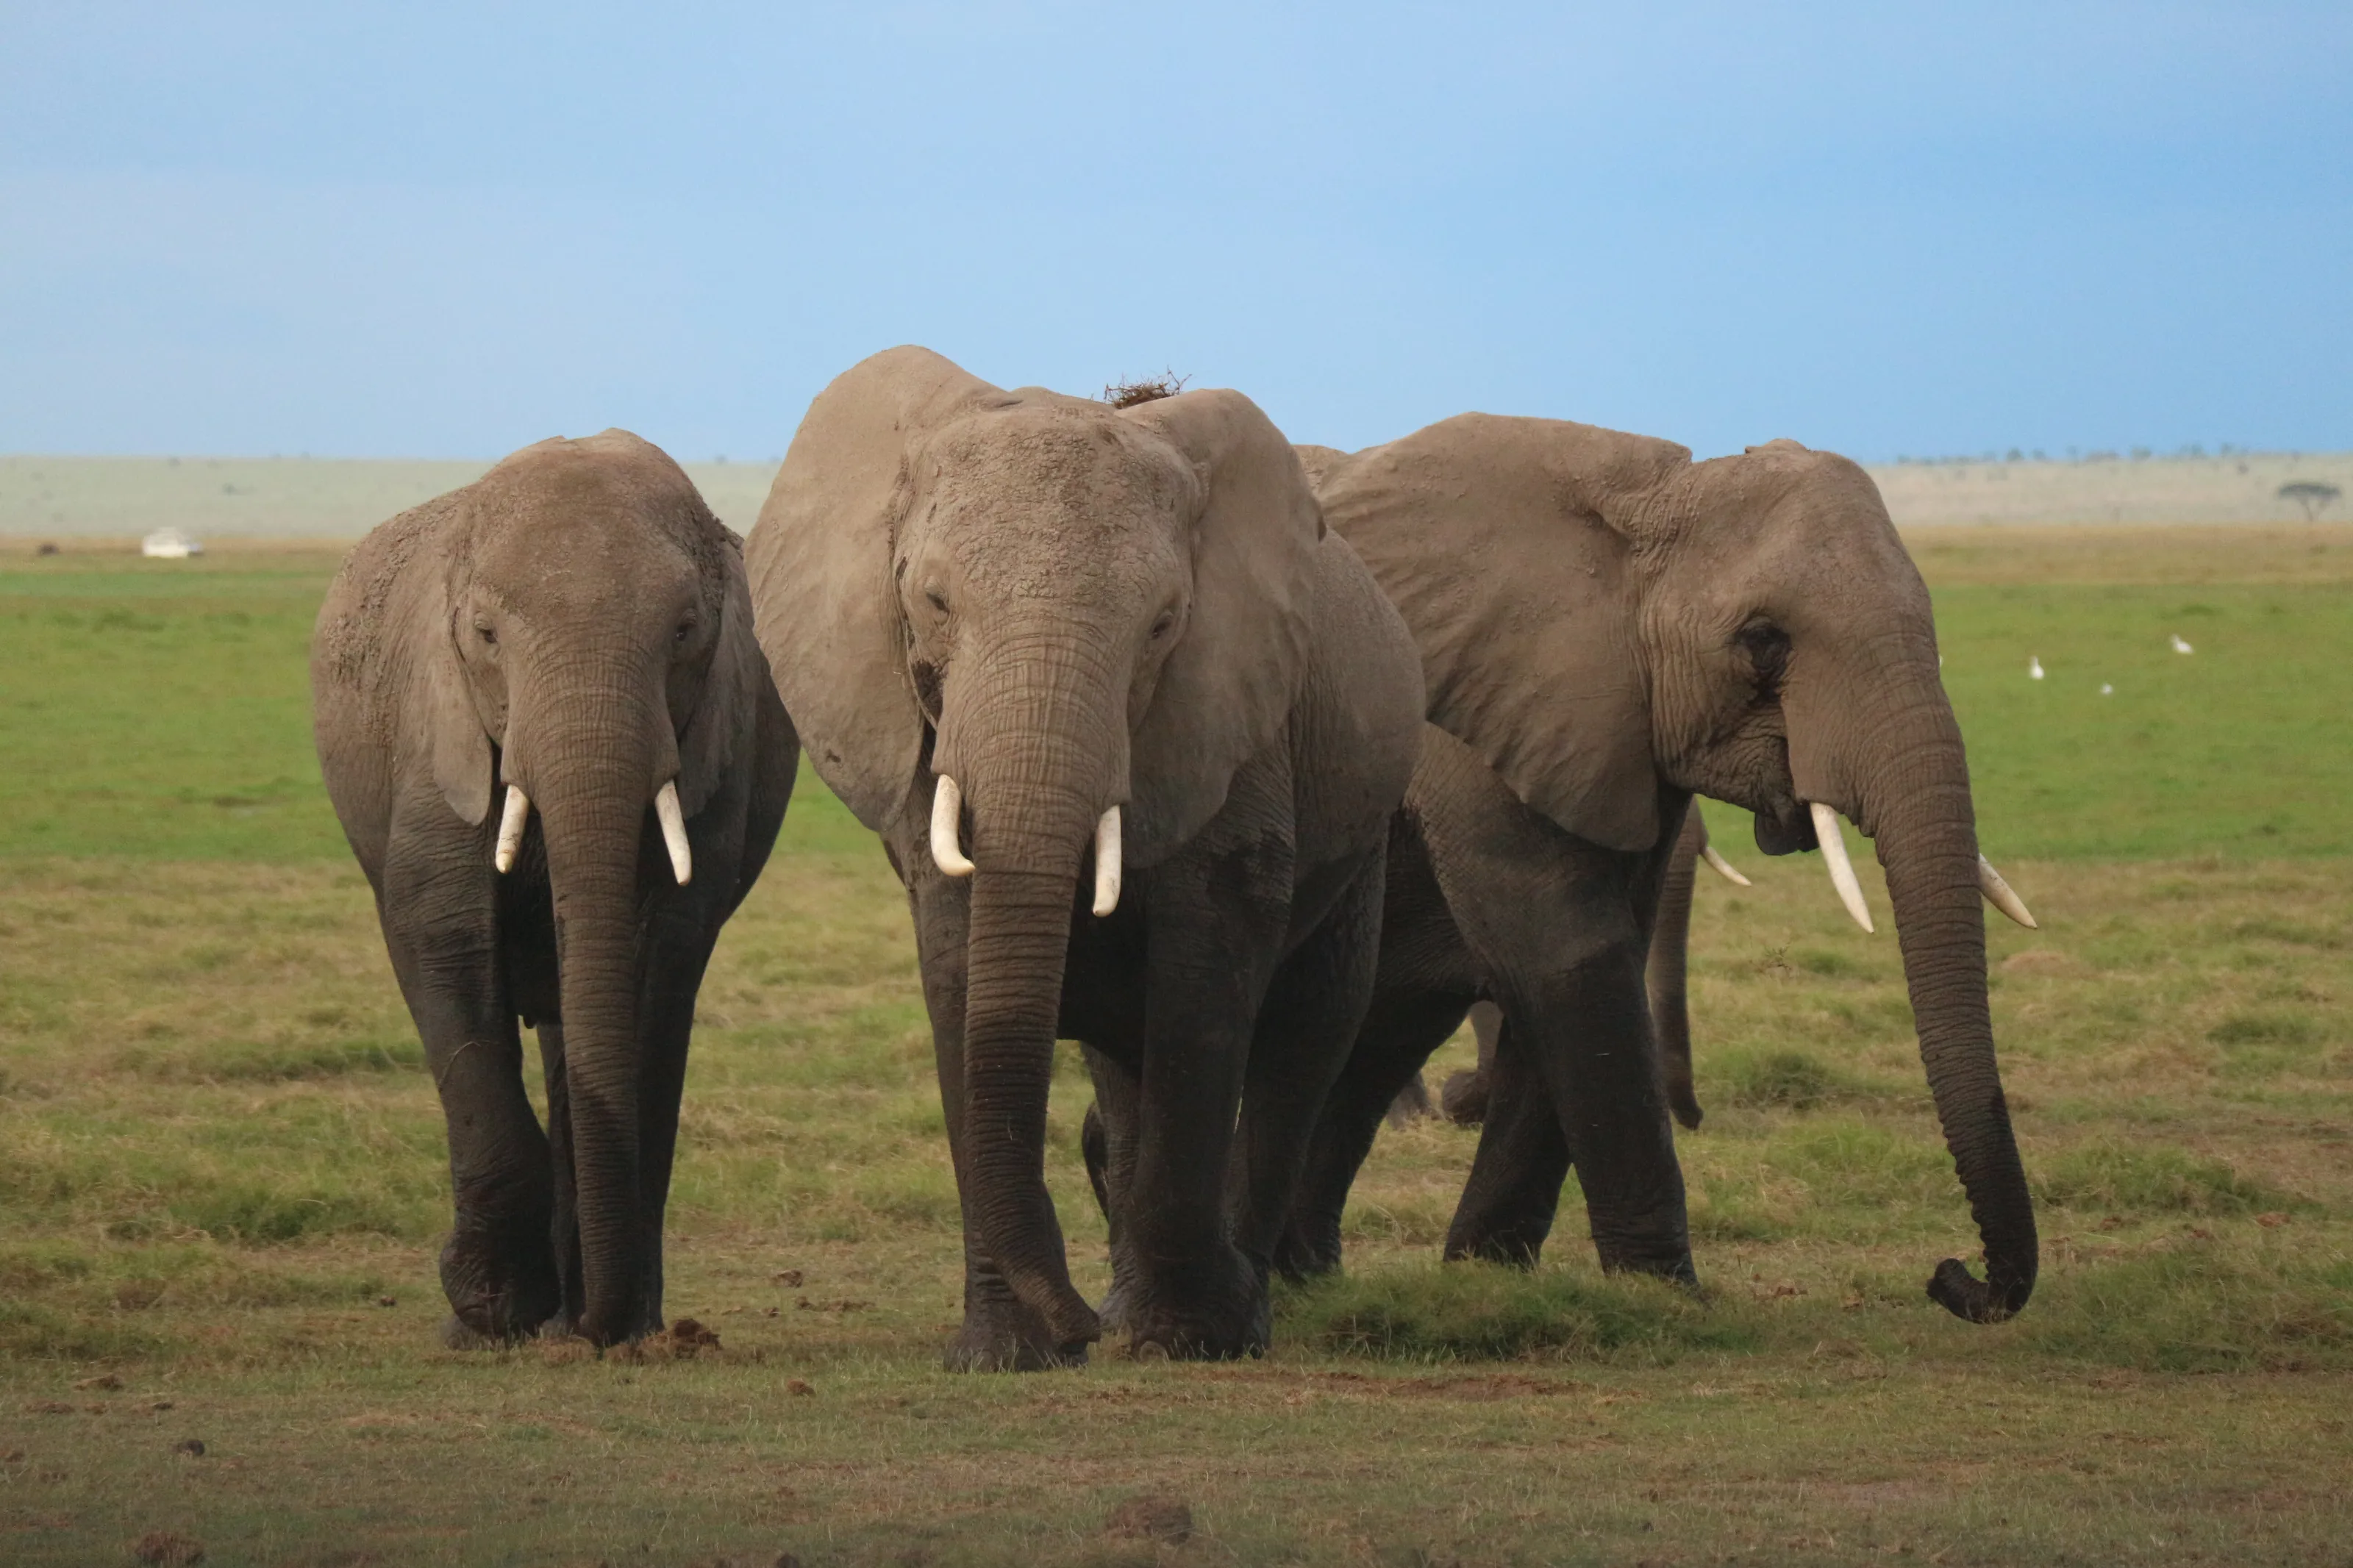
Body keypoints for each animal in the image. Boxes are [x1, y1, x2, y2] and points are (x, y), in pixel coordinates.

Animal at [312, 431, 796, 1347]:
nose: (600, 1325)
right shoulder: (439, 736)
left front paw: (612, 1322)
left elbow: (655, 961)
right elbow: (445, 944)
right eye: (486, 635)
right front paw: (493, 1311)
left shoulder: (718, 746)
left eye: (686, 632)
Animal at [746, 347, 1424, 1368]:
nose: (1078, 1327)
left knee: (1305, 1033)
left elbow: (1204, 973)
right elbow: (957, 964)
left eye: (1163, 624)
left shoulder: (1228, 721)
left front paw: (1188, 1338)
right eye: (932, 601)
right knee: (1126, 1052)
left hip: (1362, 823)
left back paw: (1215, 1311)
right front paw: (1003, 1356)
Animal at [1269, 421, 2040, 1324]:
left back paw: (1299, 1277)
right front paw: (1665, 1291)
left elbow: (1593, 954)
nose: (1949, 1276)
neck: (1645, 500)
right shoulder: (1469, 715)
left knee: (1385, 1016)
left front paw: (1487, 1276)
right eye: (1763, 642)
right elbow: (1568, 953)